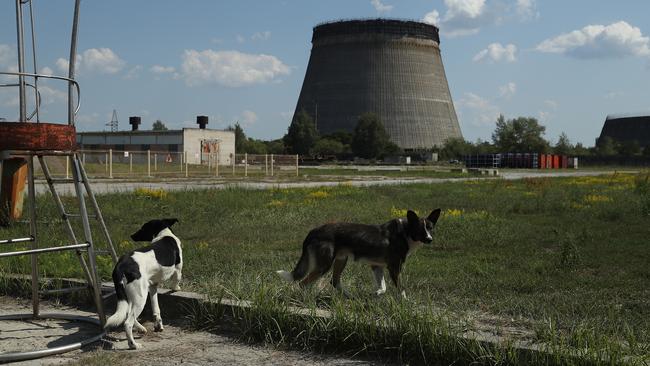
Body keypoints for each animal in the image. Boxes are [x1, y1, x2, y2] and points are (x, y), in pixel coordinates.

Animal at [104, 219, 181, 350]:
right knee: (128, 322)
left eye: (143, 228)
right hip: (140, 296)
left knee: (127, 313)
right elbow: (176, 279)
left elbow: (156, 309)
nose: (132, 235)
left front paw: (158, 325)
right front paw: (176, 288)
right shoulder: (178, 268)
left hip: (131, 295)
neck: (164, 234)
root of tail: (121, 264)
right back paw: (133, 344)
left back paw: (141, 329)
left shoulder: (153, 286)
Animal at [276, 207, 438, 298]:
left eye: (430, 228)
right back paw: (307, 300)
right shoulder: (394, 267)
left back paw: (349, 296)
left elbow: (383, 286)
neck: (405, 232)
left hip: (341, 259)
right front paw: (405, 303)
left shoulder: (376, 266)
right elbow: (401, 288)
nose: (429, 239)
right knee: (303, 283)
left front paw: (376, 293)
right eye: (419, 229)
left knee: (334, 281)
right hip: (324, 265)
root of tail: (313, 231)